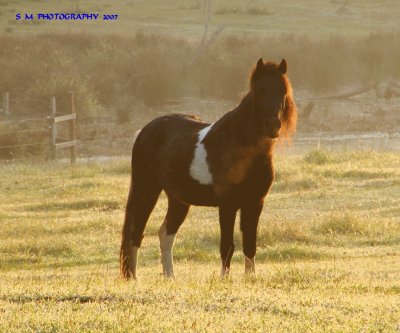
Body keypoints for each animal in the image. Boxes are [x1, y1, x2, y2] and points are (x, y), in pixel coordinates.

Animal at [120, 57, 296, 278]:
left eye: (282, 91)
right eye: (260, 90)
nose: (274, 126)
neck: (239, 144)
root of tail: (145, 131)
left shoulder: (255, 203)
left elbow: (249, 244)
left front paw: (250, 278)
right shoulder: (228, 204)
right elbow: (227, 245)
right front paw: (224, 279)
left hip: (178, 200)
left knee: (165, 234)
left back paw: (170, 277)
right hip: (147, 190)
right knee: (135, 234)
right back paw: (134, 279)